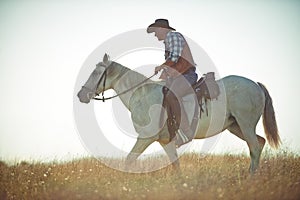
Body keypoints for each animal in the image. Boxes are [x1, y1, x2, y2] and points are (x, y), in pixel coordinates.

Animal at [77, 53, 282, 173]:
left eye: (96, 73)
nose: (81, 95)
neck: (142, 95)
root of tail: (255, 84)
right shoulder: (165, 141)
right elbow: (176, 165)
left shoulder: (146, 137)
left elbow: (129, 160)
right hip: (235, 126)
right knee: (259, 143)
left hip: (245, 124)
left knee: (254, 147)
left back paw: (250, 177)